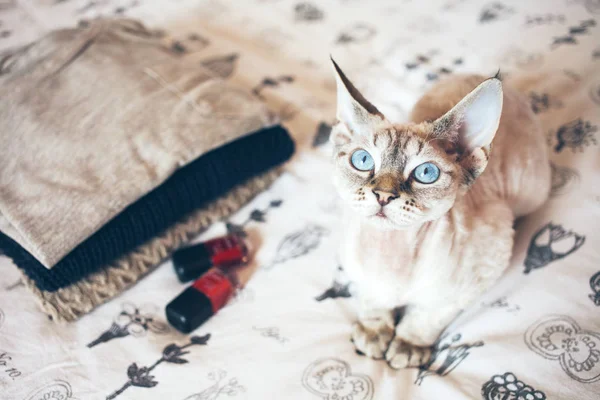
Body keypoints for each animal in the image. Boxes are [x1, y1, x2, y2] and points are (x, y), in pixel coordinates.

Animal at [330, 57, 552, 370]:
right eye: (362, 160)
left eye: (426, 173)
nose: (383, 195)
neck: (390, 254)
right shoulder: (356, 268)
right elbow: (372, 299)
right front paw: (375, 331)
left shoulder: (483, 267)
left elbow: (428, 315)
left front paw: (408, 344)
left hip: (531, 190)